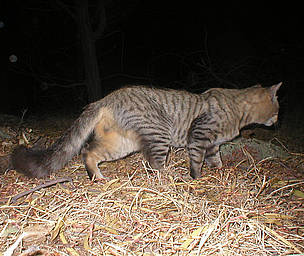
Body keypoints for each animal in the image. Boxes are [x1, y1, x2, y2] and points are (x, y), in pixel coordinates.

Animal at [10, 83, 282, 179]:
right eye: (278, 107)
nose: (278, 118)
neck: (238, 108)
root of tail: (105, 99)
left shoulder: (213, 144)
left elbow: (216, 160)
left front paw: (220, 172)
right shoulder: (198, 135)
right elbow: (197, 162)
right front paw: (196, 178)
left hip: (120, 143)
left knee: (88, 151)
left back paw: (97, 176)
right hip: (158, 133)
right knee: (154, 164)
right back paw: (166, 179)